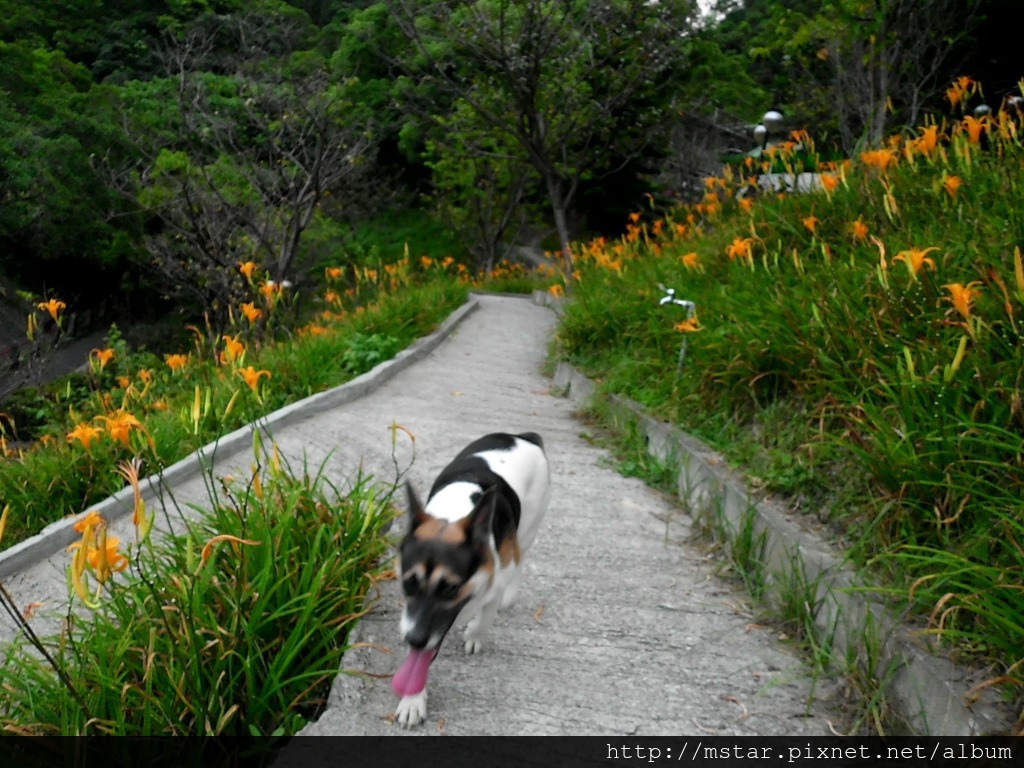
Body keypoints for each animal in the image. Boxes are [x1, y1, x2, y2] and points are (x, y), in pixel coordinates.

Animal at [391, 434, 552, 729]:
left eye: (451, 589)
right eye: (409, 583)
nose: (414, 639)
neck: (452, 515)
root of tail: (523, 437)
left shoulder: (495, 581)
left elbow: (486, 616)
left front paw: (475, 634)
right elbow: (419, 660)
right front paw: (413, 700)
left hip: (528, 529)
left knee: (521, 556)